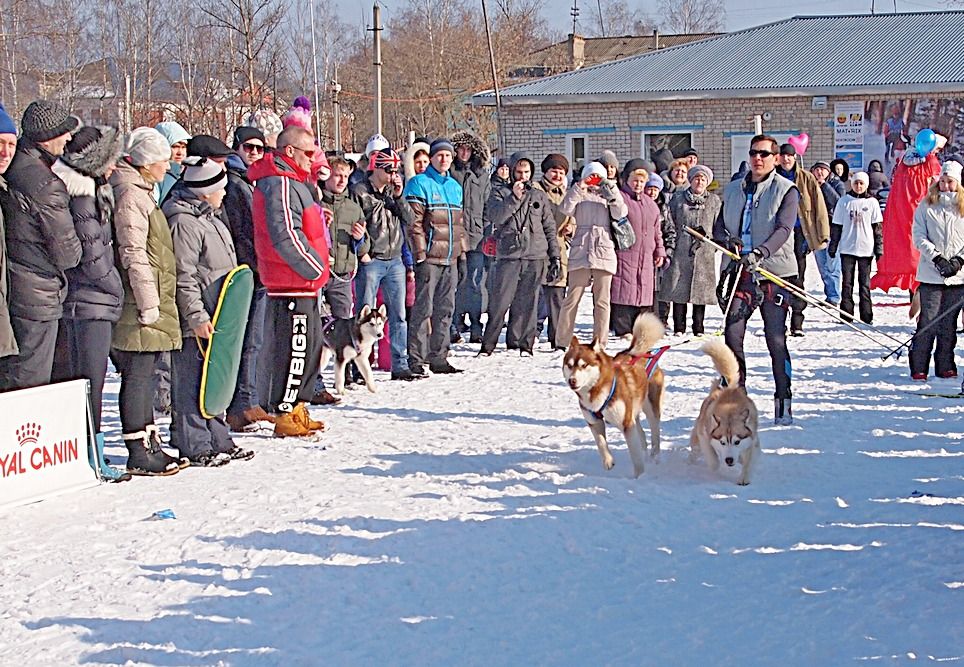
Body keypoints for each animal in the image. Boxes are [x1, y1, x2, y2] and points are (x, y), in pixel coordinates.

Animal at [560, 314, 668, 478]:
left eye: (584, 365)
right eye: (570, 365)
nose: (572, 381)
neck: (596, 390)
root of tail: (637, 353)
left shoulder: (626, 424)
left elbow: (635, 455)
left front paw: (639, 477)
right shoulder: (594, 422)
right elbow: (600, 442)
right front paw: (608, 461)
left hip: (651, 407)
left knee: (654, 433)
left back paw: (654, 457)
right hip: (633, 410)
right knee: (642, 435)